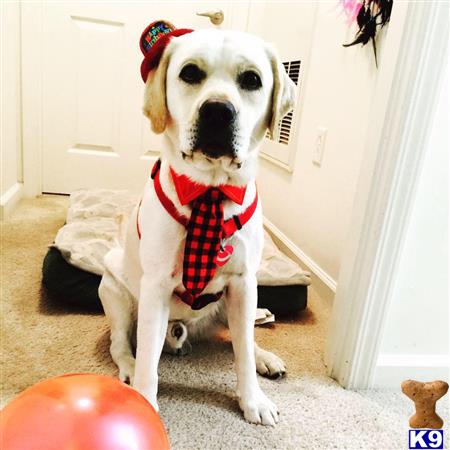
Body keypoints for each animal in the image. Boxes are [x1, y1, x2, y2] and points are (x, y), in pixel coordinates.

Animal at [98, 22, 296, 426]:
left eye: (251, 79)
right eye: (190, 73)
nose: (218, 112)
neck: (210, 190)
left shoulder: (243, 283)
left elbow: (243, 354)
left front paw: (253, 399)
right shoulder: (156, 287)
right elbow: (148, 363)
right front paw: (144, 400)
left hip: (235, 302)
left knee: (241, 339)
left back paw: (264, 356)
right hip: (115, 290)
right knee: (121, 345)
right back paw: (129, 367)